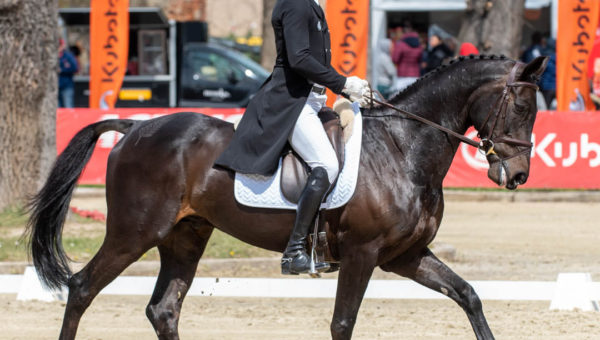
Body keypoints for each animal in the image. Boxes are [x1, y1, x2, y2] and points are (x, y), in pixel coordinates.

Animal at [25, 54, 548, 338]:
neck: (404, 147)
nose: (518, 175)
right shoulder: (362, 253)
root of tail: (135, 127)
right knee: (82, 288)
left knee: (163, 309)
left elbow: (469, 296)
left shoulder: (406, 255)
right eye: (522, 106)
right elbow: (342, 324)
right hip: (134, 233)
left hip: (185, 236)